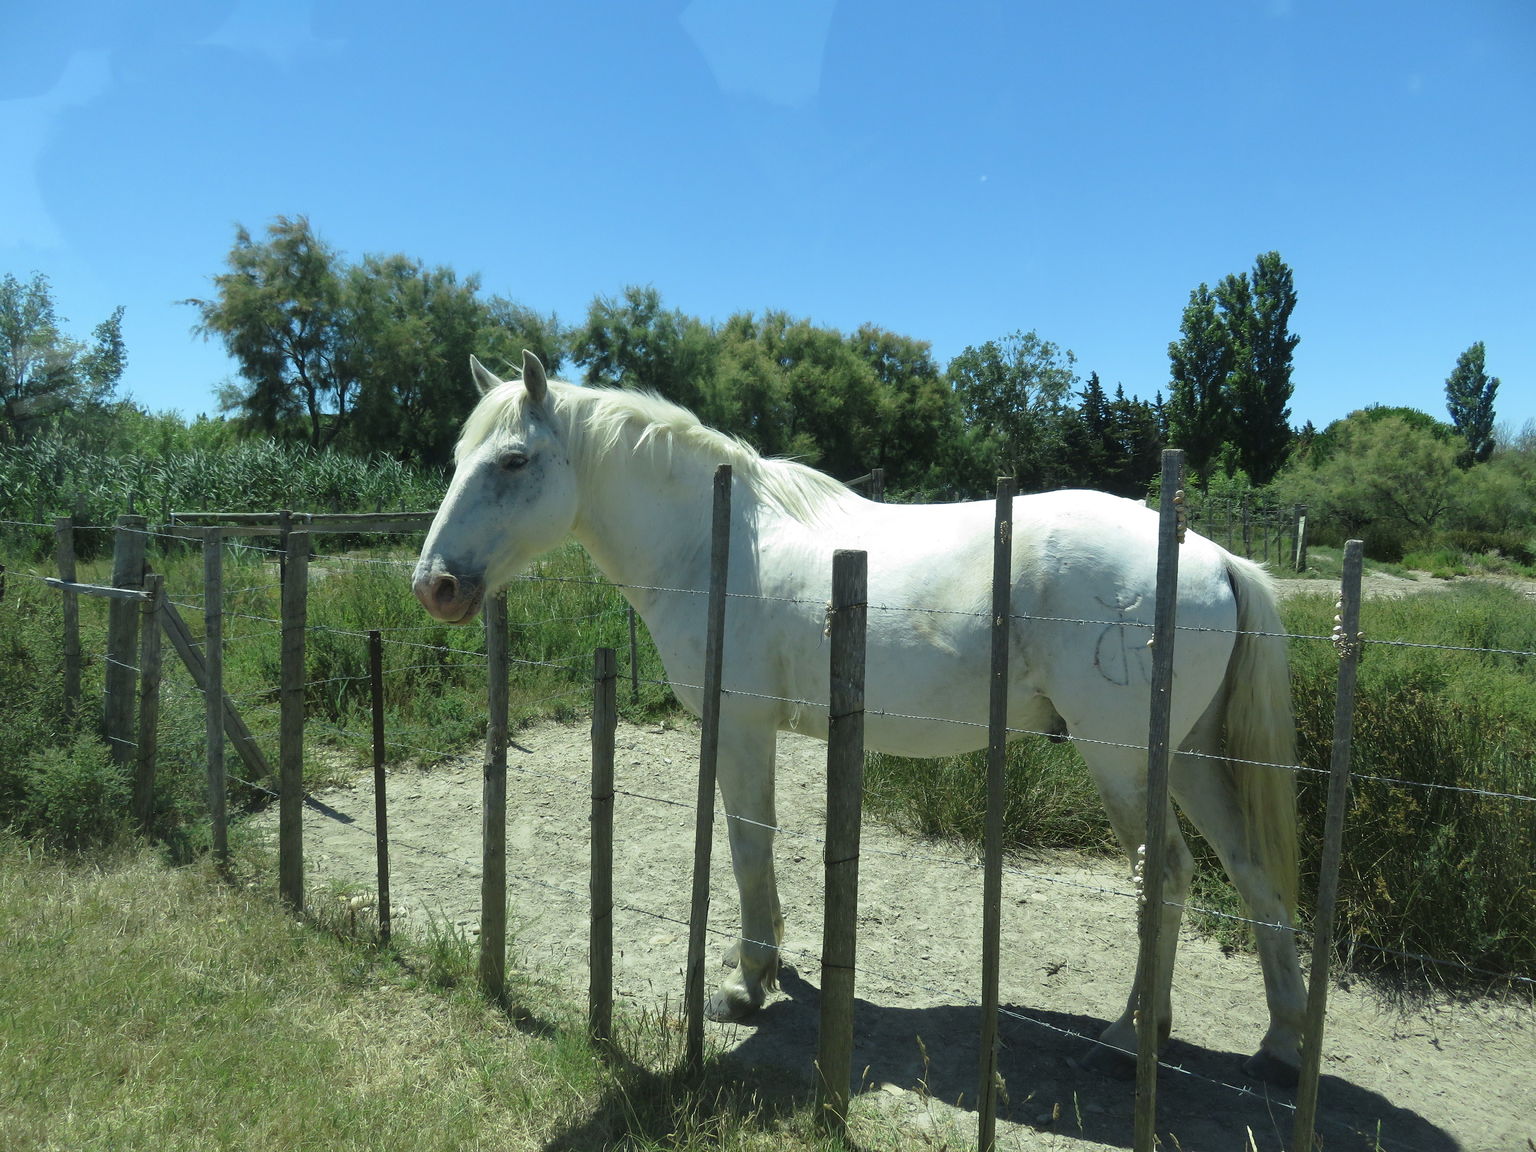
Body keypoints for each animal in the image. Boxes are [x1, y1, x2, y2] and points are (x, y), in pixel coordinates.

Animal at [412, 351, 1307, 1086]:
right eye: (458, 461)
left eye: (513, 461)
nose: (435, 586)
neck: (714, 544)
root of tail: (1213, 556)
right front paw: (763, 968)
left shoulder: (740, 730)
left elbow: (748, 843)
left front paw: (746, 984)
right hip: (1188, 760)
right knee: (1250, 871)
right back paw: (1277, 1043)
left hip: (1124, 762)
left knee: (1168, 878)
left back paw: (1127, 1039)